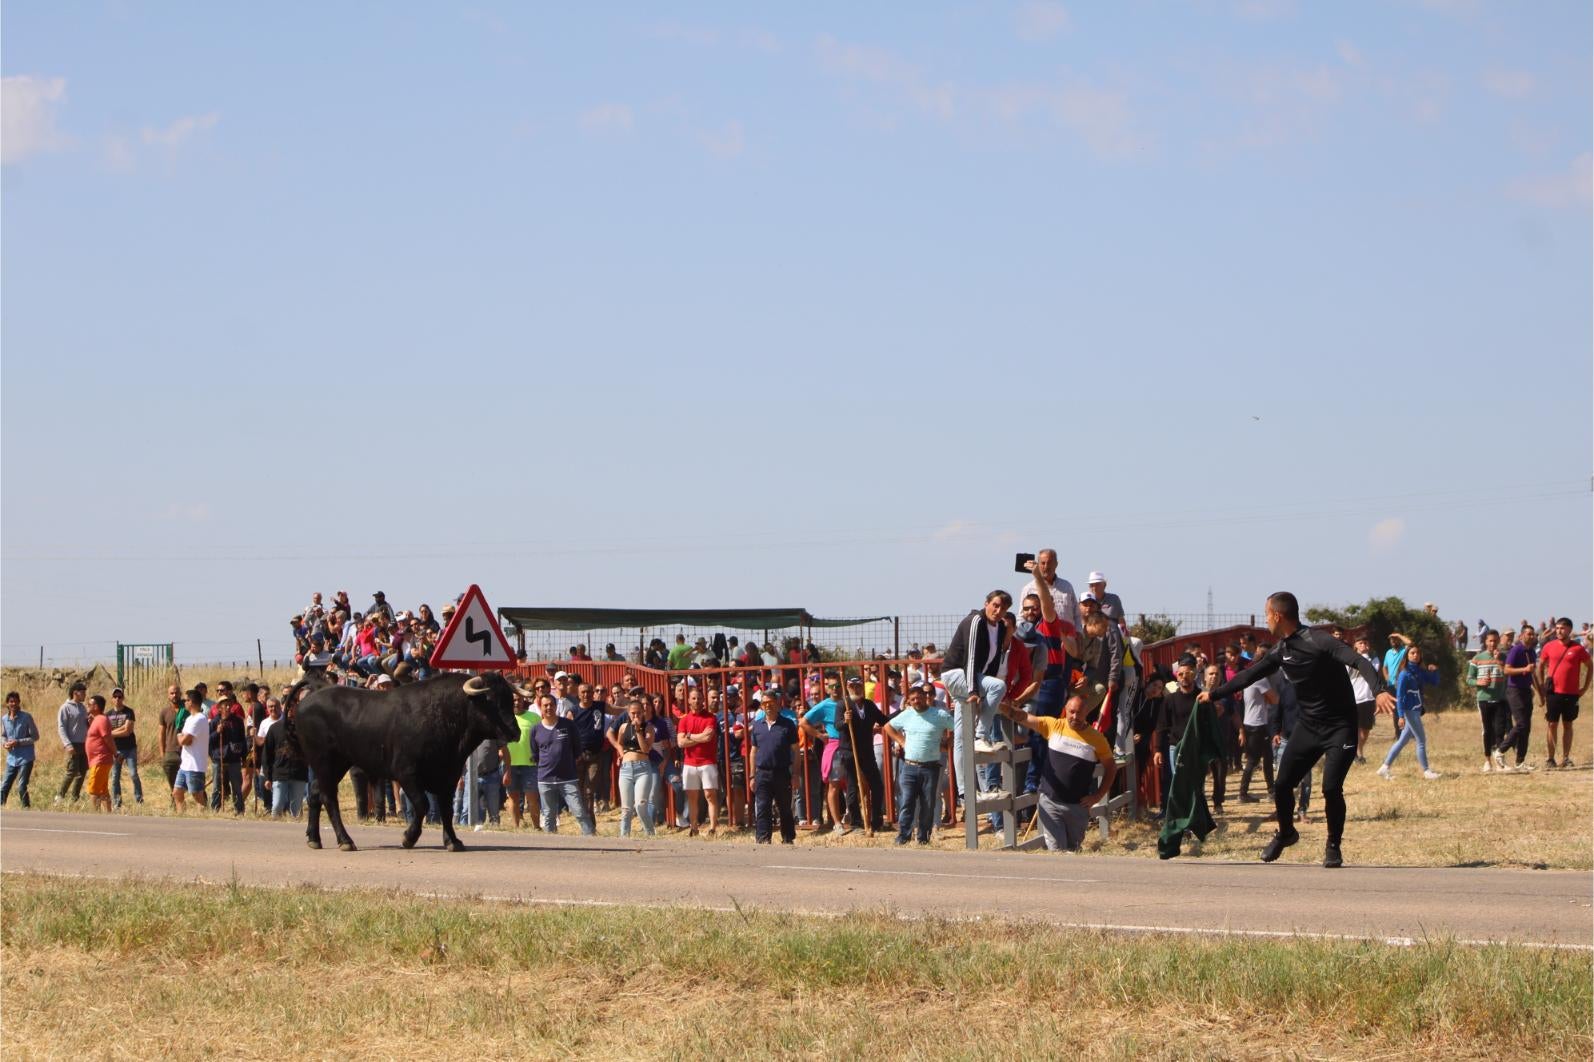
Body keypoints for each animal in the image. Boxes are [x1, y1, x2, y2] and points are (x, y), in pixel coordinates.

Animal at [296, 669, 519, 854]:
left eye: (510, 698)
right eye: (490, 699)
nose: (515, 732)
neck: (443, 714)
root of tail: (312, 696)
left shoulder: (449, 777)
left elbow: (446, 810)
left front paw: (453, 841)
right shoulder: (407, 773)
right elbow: (422, 804)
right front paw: (408, 838)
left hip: (335, 765)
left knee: (315, 793)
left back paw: (314, 838)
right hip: (325, 762)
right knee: (328, 798)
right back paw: (345, 841)